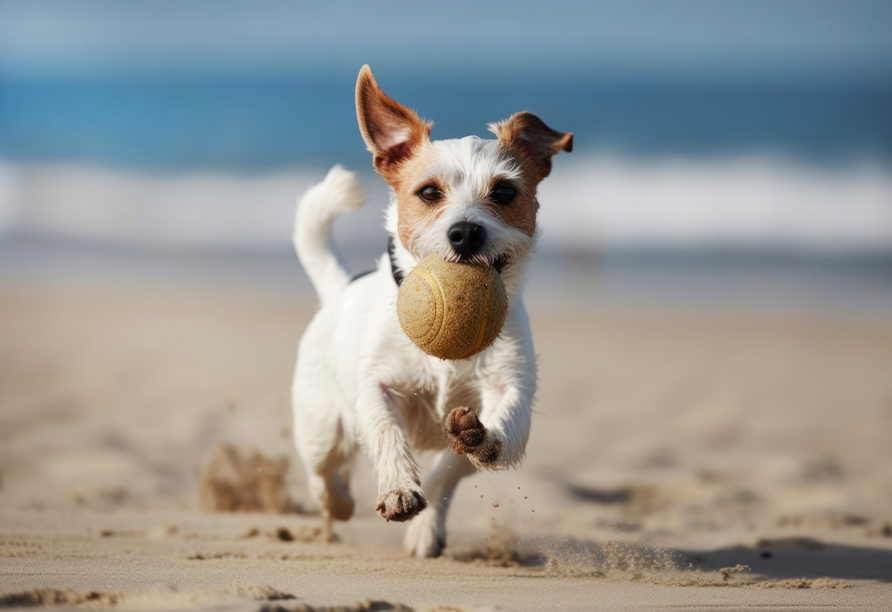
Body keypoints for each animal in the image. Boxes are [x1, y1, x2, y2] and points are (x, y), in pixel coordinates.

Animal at [292, 64, 572, 556]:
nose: (465, 232)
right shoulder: (376, 385)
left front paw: (478, 444)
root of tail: (339, 289)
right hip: (320, 424)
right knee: (322, 473)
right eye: (427, 192)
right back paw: (338, 502)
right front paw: (398, 488)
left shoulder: (508, 385)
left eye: (504, 192)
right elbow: (385, 430)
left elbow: (469, 452)